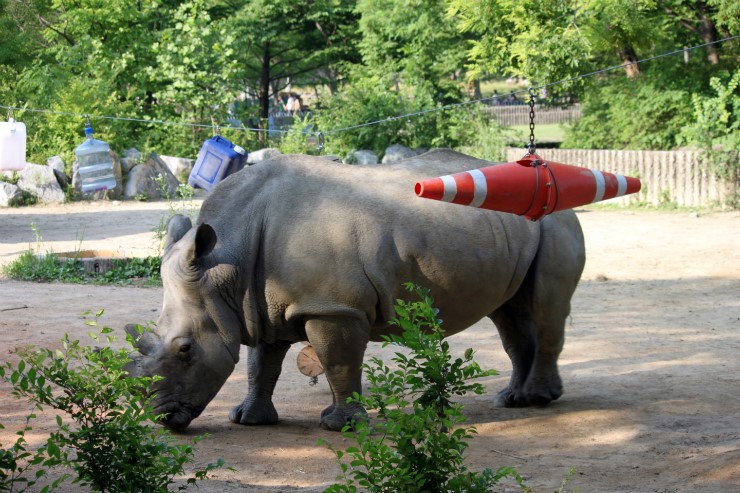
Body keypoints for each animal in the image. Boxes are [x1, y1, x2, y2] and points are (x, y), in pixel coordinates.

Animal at [126, 149, 586, 431]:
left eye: (185, 350)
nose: (163, 419)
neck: (226, 265)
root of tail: (550, 180)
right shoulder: (259, 305)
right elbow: (263, 363)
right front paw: (248, 419)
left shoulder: (333, 307)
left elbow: (338, 362)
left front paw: (340, 425)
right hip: (508, 230)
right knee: (509, 313)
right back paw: (511, 400)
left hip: (556, 219)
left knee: (545, 309)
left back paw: (538, 400)